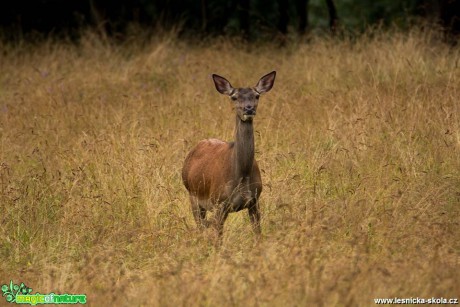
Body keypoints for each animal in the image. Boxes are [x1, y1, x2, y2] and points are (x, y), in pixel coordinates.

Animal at [181, 71, 276, 239]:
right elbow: (218, 238)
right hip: (192, 196)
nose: (249, 109)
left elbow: (258, 234)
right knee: (200, 227)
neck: (242, 174)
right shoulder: (220, 203)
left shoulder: (254, 200)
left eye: (257, 95)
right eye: (234, 97)